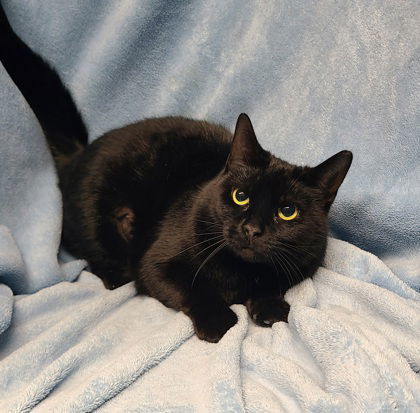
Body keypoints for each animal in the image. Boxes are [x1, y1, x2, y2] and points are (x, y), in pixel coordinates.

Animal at [0, 7, 352, 342]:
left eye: (288, 211)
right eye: (240, 196)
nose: (251, 229)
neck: (239, 273)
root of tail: (80, 153)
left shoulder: (299, 265)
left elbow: (271, 282)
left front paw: (270, 308)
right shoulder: (156, 263)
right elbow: (194, 288)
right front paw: (219, 322)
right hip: (97, 218)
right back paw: (116, 276)